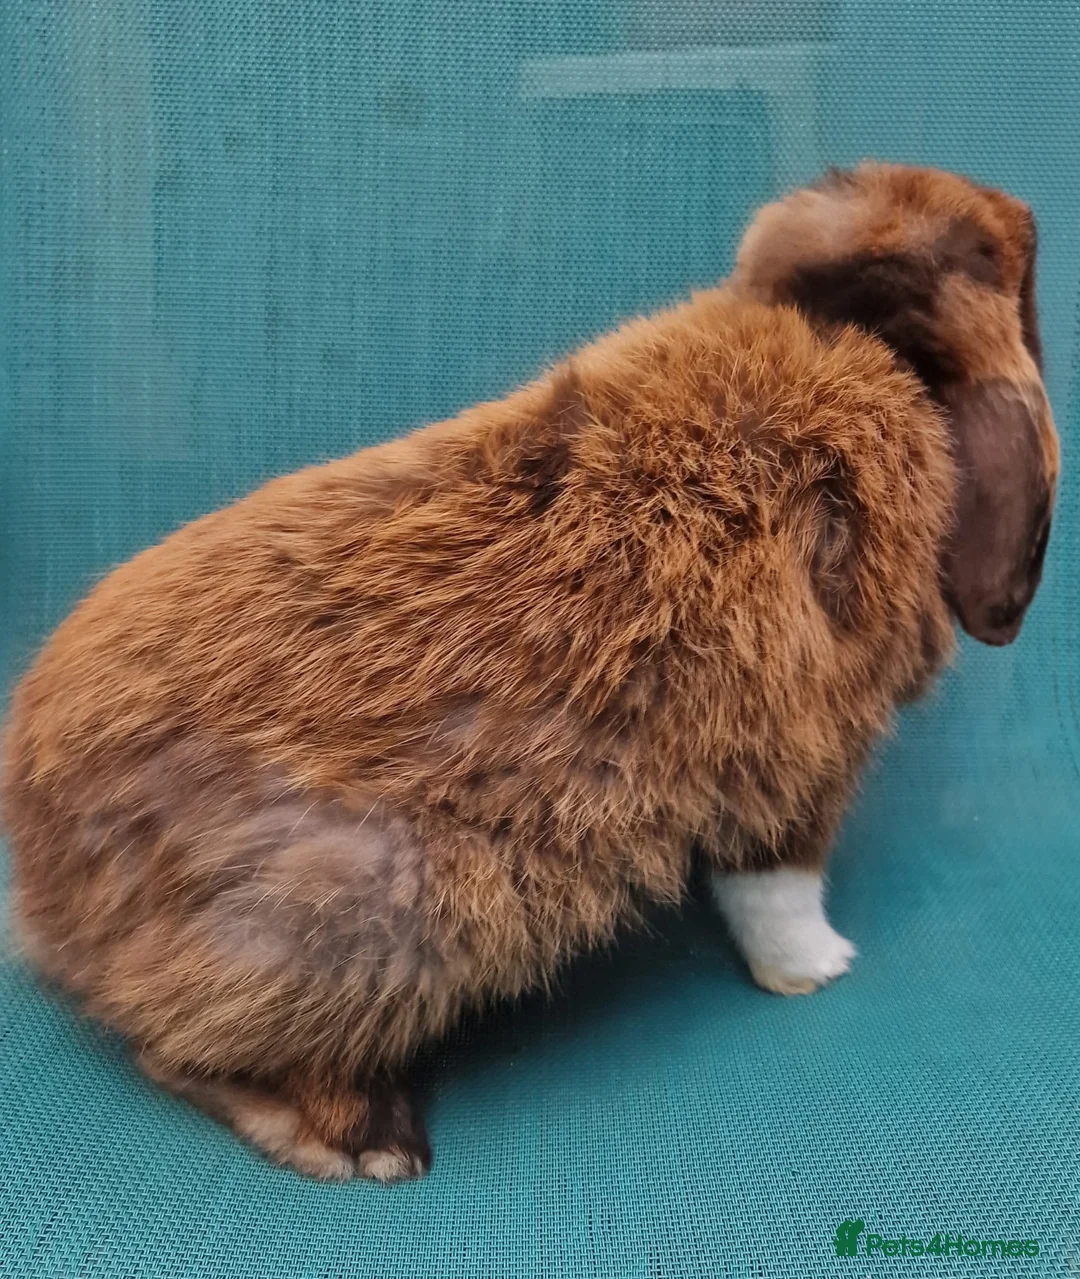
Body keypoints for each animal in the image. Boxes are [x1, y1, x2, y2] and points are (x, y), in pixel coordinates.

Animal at [1, 163, 1058, 1183]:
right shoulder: (807, 757)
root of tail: (50, 879)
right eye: (990, 255)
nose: (1024, 210)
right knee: (173, 1043)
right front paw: (822, 967)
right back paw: (365, 1140)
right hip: (382, 911)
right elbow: (779, 886)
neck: (855, 346)